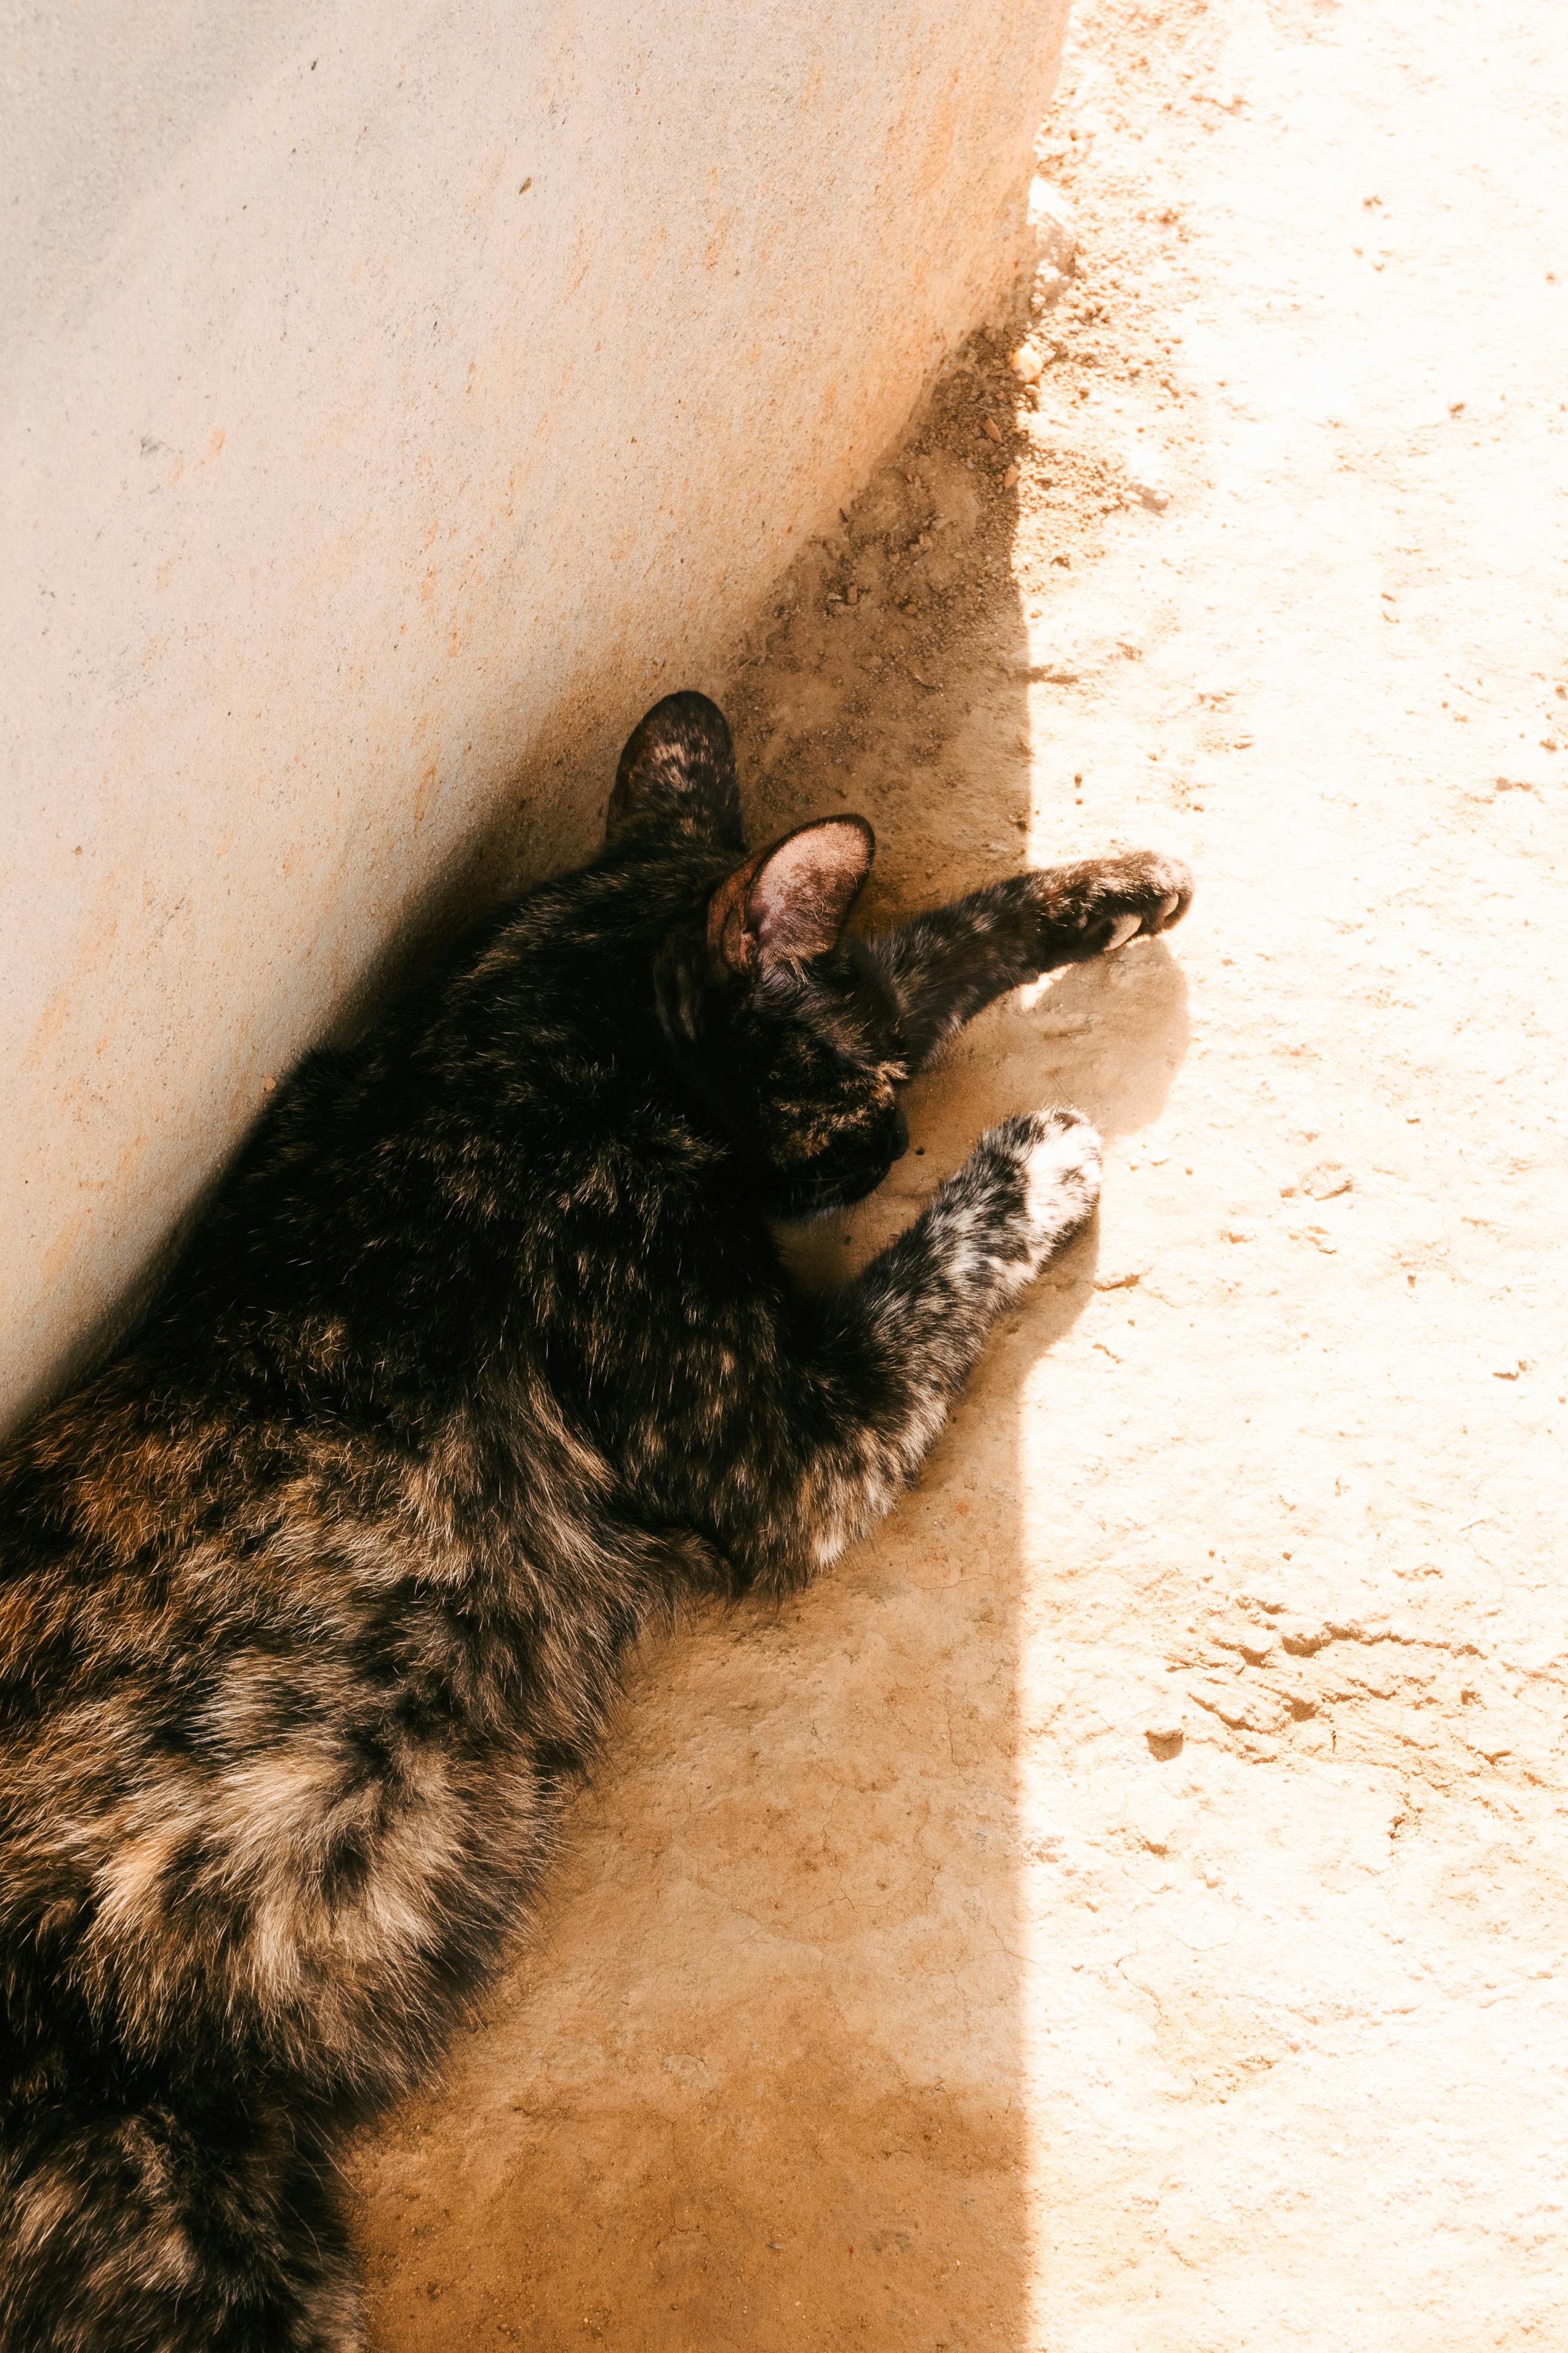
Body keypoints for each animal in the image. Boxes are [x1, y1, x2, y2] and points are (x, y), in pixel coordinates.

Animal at [0, 687, 1189, 2343]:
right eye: (869, 1102)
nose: (884, 1153)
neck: (487, 1057)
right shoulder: (790, 1455)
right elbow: (928, 1270)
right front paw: (1033, 1156)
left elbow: (917, 950)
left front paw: (1104, 890)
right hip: (178, 2258)